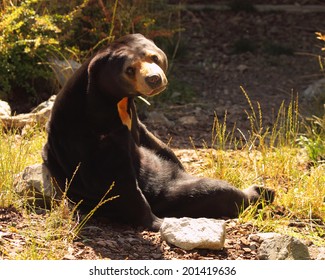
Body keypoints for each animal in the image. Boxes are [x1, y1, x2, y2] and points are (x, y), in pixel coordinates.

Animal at [41, 33, 274, 230]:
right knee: (214, 191)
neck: (117, 101)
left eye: (153, 56)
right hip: (166, 194)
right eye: (129, 69)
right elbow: (115, 178)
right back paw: (261, 192)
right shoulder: (91, 134)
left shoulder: (132, 118)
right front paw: (155, 222)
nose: (154, 79)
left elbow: (150, 138)